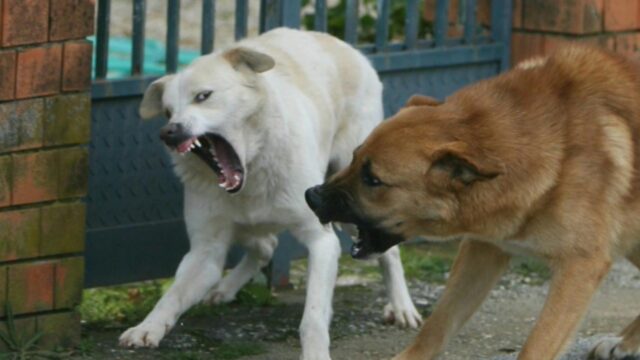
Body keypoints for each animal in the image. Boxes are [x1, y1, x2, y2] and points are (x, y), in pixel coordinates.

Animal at [119, 28, 420, 360]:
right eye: (168, 112)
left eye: (203, 96)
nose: (168, 132)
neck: (253, 169)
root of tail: (338, 42)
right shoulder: (205, 252)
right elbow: (171, 296)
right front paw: (147, 328)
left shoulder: (321, 241)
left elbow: (313, 316)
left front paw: (315, 352)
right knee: (265, 245)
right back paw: (225, 288)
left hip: (351, 204)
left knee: (388, 251)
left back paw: (401, 307)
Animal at [304, 45, 640, 360]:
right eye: (353, 158)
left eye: (373, 179)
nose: (311, 197)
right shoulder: (483, 250)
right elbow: (438, 323)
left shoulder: (579, 267)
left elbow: (535, 346)